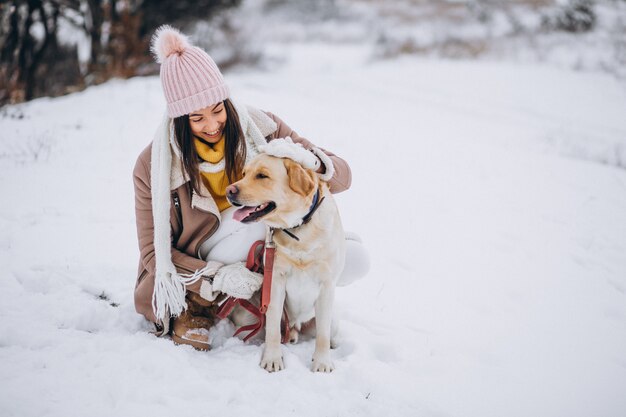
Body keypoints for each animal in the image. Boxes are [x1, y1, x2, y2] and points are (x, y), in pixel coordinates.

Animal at [225, 152, 346, 370]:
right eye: (244, 174)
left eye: (262, 175)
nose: (229, 191)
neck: (299, 229)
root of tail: (295, 325)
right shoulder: (276, 281)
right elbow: (273, 329)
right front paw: (272, 359)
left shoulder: (327, 285)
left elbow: (322, 335)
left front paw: (322, 362)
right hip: (250, 315)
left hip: (332, 320)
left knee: (327, 333)